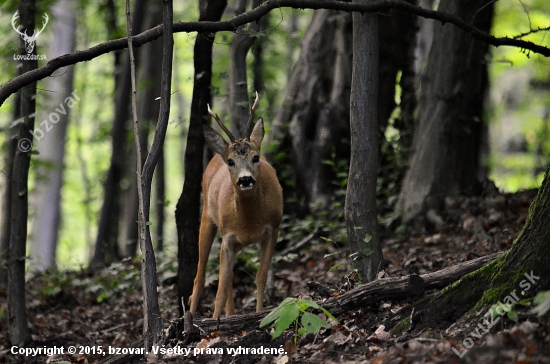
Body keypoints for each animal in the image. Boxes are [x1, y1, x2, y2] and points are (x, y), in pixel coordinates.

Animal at [190, 94, 284, 318]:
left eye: (255, 158)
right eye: (231, 162)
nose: (245, 179)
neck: (248, 222)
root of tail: (217, 154)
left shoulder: (273, 228)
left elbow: (260, 276)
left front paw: (259, 313)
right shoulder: (228, 238)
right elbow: (220, 289)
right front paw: (214, 322)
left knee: (230, 277)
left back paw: (230, 314)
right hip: (208, 219)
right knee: (200, 278)